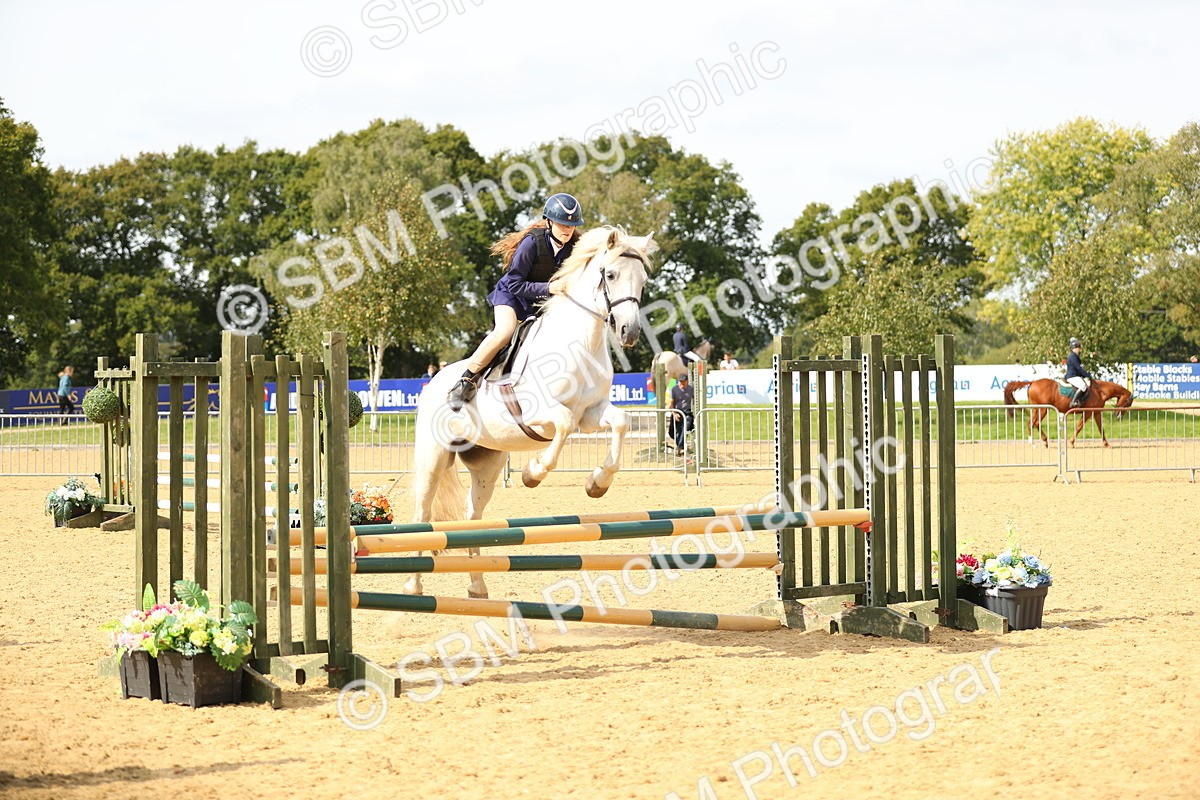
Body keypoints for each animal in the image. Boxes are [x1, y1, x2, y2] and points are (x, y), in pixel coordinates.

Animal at [408, 226, 655, 598]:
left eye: (643, 279)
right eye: (610, 275)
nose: (630, 332)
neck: (580, 343)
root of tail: (433, 383)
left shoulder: (591, 414)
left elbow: (621, 422)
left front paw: (598, 483)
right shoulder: (539, 412)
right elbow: (562, 427)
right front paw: (532, 473)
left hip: (487, 463)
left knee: (472, 514)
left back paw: (477, 585)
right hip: (432, 456)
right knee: (422, 513)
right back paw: (414, 584)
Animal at [1003, 378, 1134, 448]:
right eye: (1127, 404)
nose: (1118, 416)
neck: (1100, 391)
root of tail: (1032, 382)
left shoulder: (1096, 412)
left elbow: (1101, 429)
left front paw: (1106, 444)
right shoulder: (1087, 412)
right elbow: (1079, 427)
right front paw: (1071, 443)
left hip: (1037, 409)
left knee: (1030, 423)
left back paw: (1036, 442)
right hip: (1043, 409)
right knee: (1035, 423)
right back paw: (1041, 442)